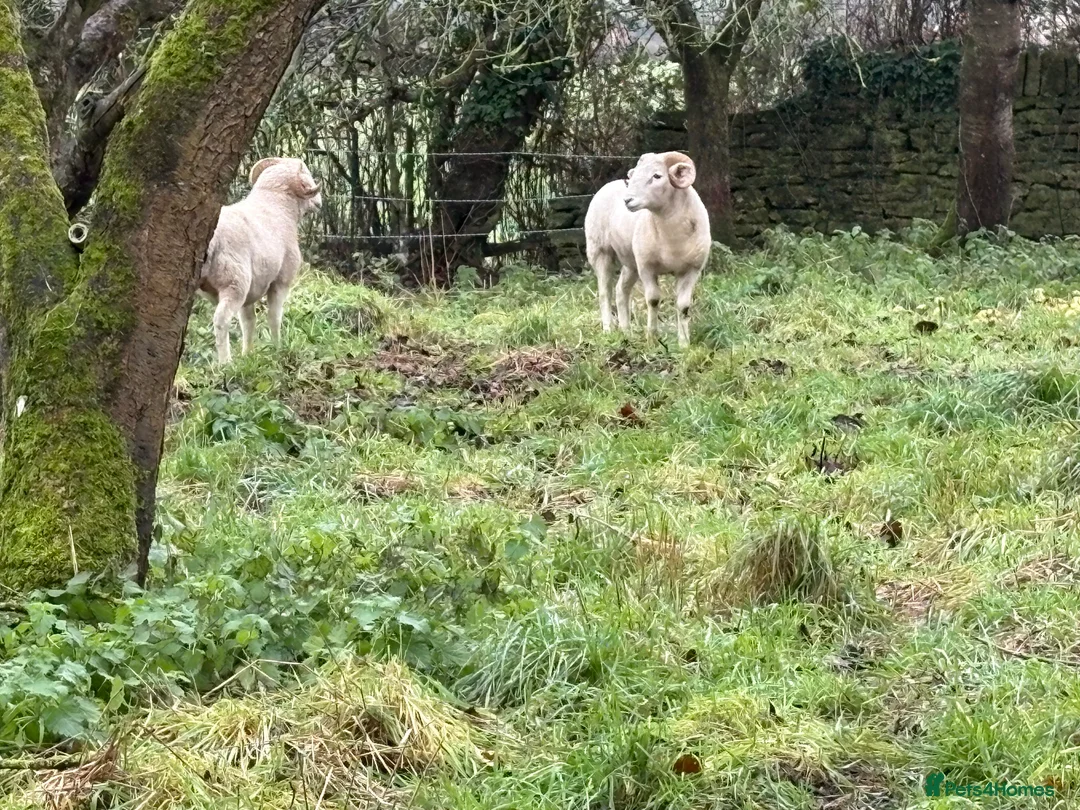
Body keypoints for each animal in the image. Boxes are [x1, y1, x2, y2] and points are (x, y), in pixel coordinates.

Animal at [199, 156, 322, 364]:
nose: (320, 203)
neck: (277, 206)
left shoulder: (251, 292)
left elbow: (248, 322)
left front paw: (248, 354)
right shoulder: (280, 281)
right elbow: (274, 317)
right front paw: (277, 348)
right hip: (234, 283)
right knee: (221, 320)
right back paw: (225, 363)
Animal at [584, 151, 711, 348]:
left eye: (657, 176)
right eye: (633, 175)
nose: (627, 200)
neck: (672, 239)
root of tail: (609, 184)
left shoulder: (691, 270)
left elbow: (683, 306)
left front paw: (684, 344)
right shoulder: (647, 268)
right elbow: (653, 300)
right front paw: (652, 338)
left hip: (630, 263)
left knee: (621, 290)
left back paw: (626, 331)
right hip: (600, 251)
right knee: (605, 292)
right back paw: (608, 330)